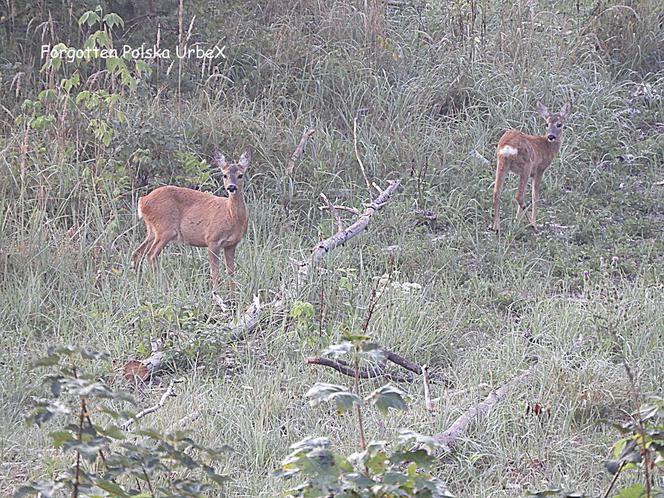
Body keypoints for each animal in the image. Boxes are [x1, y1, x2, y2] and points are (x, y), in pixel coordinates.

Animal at [131, 151, 250, 292]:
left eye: (240, 175)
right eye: (224, 175)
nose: (231, 187)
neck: (230, 216)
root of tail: (142, 201)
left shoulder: (231, 244)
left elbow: (231, 272)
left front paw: (233, 294)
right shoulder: (212, 239)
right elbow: (215, 272)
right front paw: (216, 293)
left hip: (152, 231)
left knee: (137, 253)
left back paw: (140, 283)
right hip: (165, 229)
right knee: (151, 255)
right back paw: (162, 286)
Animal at [490, 101, 572, 233]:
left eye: (559, 124)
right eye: (547, 124)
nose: (551, 136)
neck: (546, 147)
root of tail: (508, 147)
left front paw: (516, 221)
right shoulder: (539, 169)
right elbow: (535, 196)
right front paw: (529, 221)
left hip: (502, 164)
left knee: (497, 192)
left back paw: (495, 226)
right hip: (526, 165)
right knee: (518, 196)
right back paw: (532, 224)